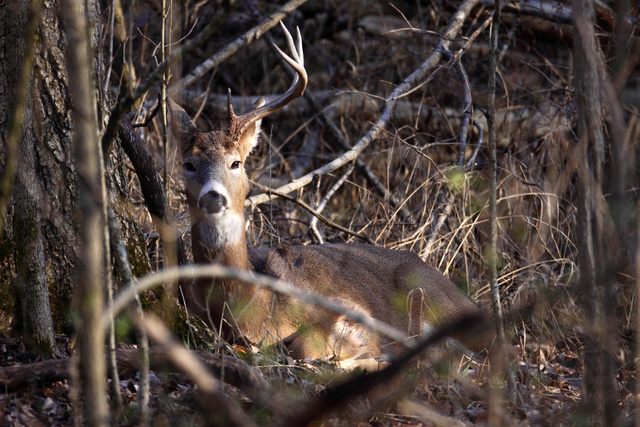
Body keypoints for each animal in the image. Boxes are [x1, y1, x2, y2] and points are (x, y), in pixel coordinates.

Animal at [168, 23, 490, 361]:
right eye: (188, 164)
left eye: (235, 163)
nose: (212, 197)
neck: (250, 305)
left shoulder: (347, 307)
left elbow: (307, 343)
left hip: (437, 301)